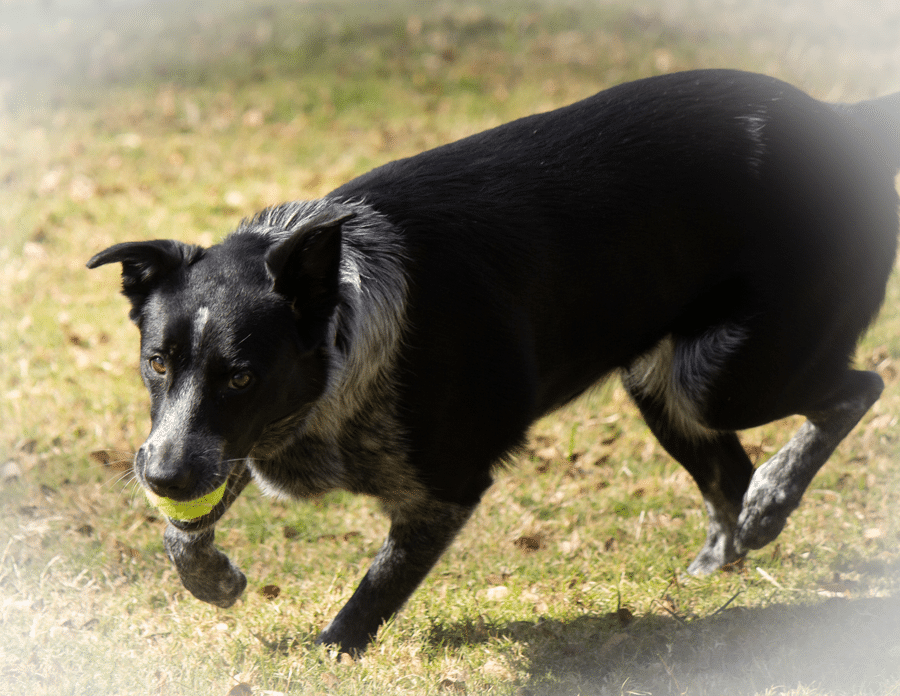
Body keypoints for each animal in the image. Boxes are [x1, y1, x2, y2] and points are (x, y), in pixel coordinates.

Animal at [86, 69, 900, 652]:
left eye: (242, 375)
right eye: (157, 363)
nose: (159, 477)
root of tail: (843, 122)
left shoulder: (442, 487)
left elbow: (381, 582)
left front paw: (333, 651)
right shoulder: (230, 442)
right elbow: (184, 528)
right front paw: (214, 579)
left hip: (723, 379)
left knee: (854, 390)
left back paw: (773, 500)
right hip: (663, 380)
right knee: (729, 474)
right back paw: (721, 563)